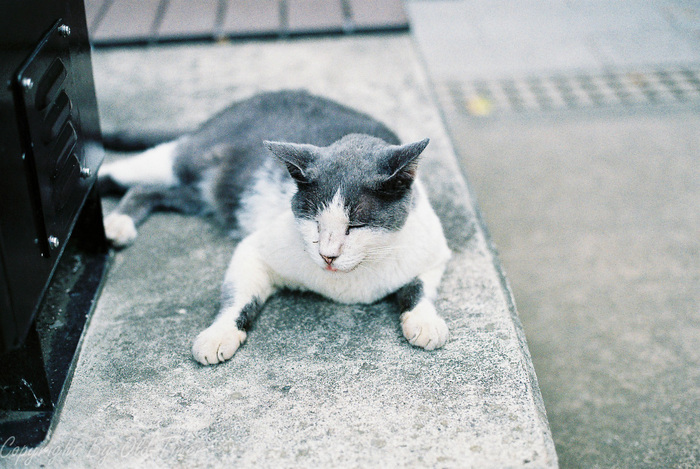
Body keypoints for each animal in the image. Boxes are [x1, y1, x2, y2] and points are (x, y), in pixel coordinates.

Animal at [98, 89, 452, 364]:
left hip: (205, 195)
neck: (351, 283)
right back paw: (113, 220)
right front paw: (218, 334)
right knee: (119, 172)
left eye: (357, 225)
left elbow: (420, 287)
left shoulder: (434, 250)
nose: (328, 256)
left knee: (150, 190)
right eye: (314, 222)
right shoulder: (255, 248)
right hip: (182, 160)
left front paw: (425, 321)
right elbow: (238, 298)